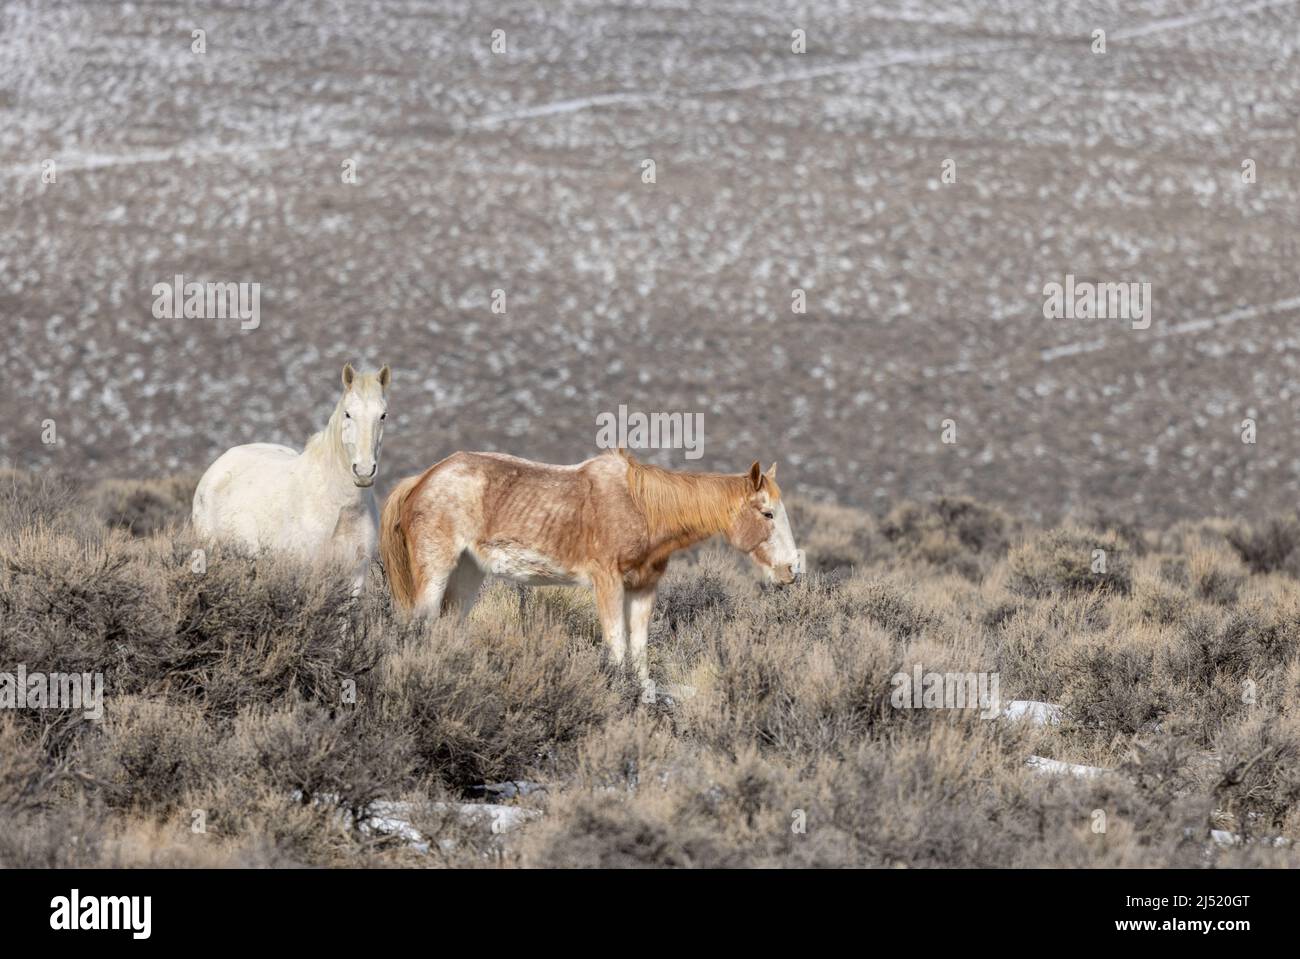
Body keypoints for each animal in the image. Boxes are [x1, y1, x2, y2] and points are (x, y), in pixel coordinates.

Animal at [378, 449, 803, 683]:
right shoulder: (608, 583)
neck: (641, 506)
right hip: (436, 572)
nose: (791, 570)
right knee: (420, 624)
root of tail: (422, 479)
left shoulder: (643, 588)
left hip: (468, 574)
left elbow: (638, 650)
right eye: (767, 513)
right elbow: (616, 645)